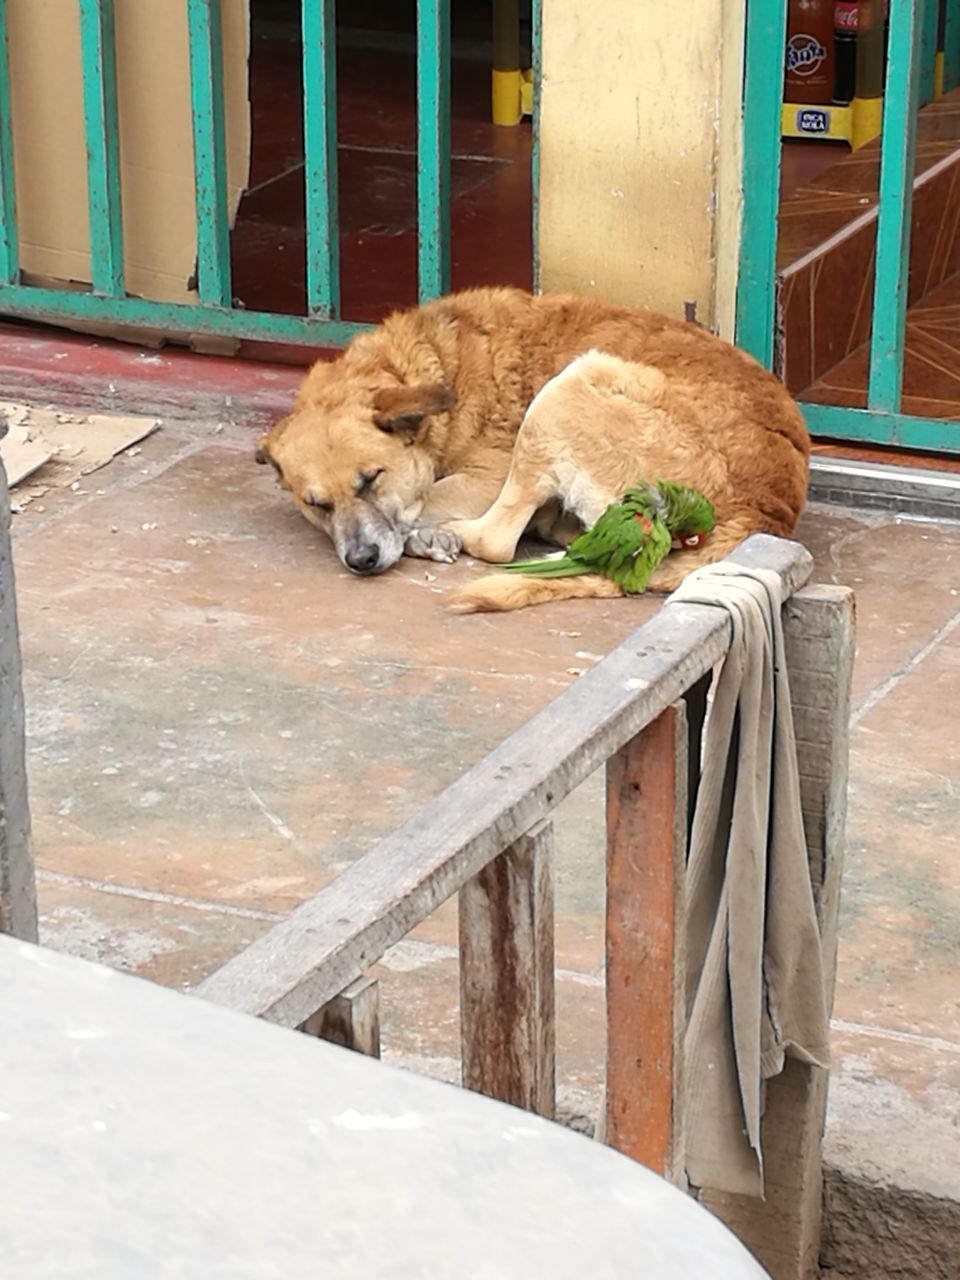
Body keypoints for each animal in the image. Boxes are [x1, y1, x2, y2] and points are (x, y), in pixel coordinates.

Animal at [256, 288, 814, 611]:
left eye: (373, 479)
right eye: (317, 505)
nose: (362, 561)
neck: (430, 366)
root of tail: (765, 511)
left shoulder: (485, 474)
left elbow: (426, 501)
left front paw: (422, 530)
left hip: (565, 390)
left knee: (496, 542)